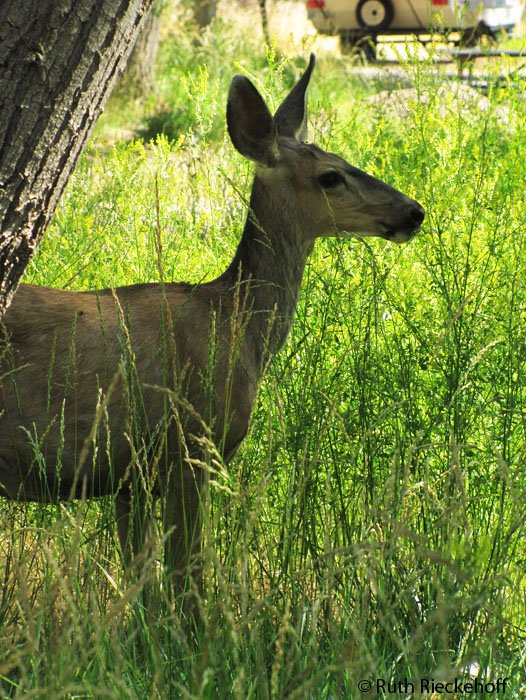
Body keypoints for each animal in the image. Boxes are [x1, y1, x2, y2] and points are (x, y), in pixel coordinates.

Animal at [0, 55, 424, 606]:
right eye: (330, 175)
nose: (414, 211)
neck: (236, 323)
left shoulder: (132, 479)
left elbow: (144, 587)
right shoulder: (189, 446)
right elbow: (189, 582)